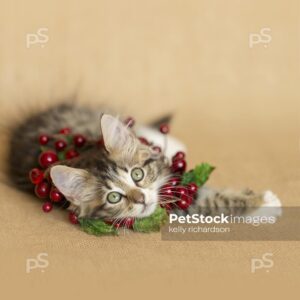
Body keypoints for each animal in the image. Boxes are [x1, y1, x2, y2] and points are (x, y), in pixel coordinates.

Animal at [8, 103, 282, 220]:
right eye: (113, 197)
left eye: (137, 174)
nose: (140, 198)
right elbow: (217, 201)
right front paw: (264, 204)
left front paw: (263, 201)